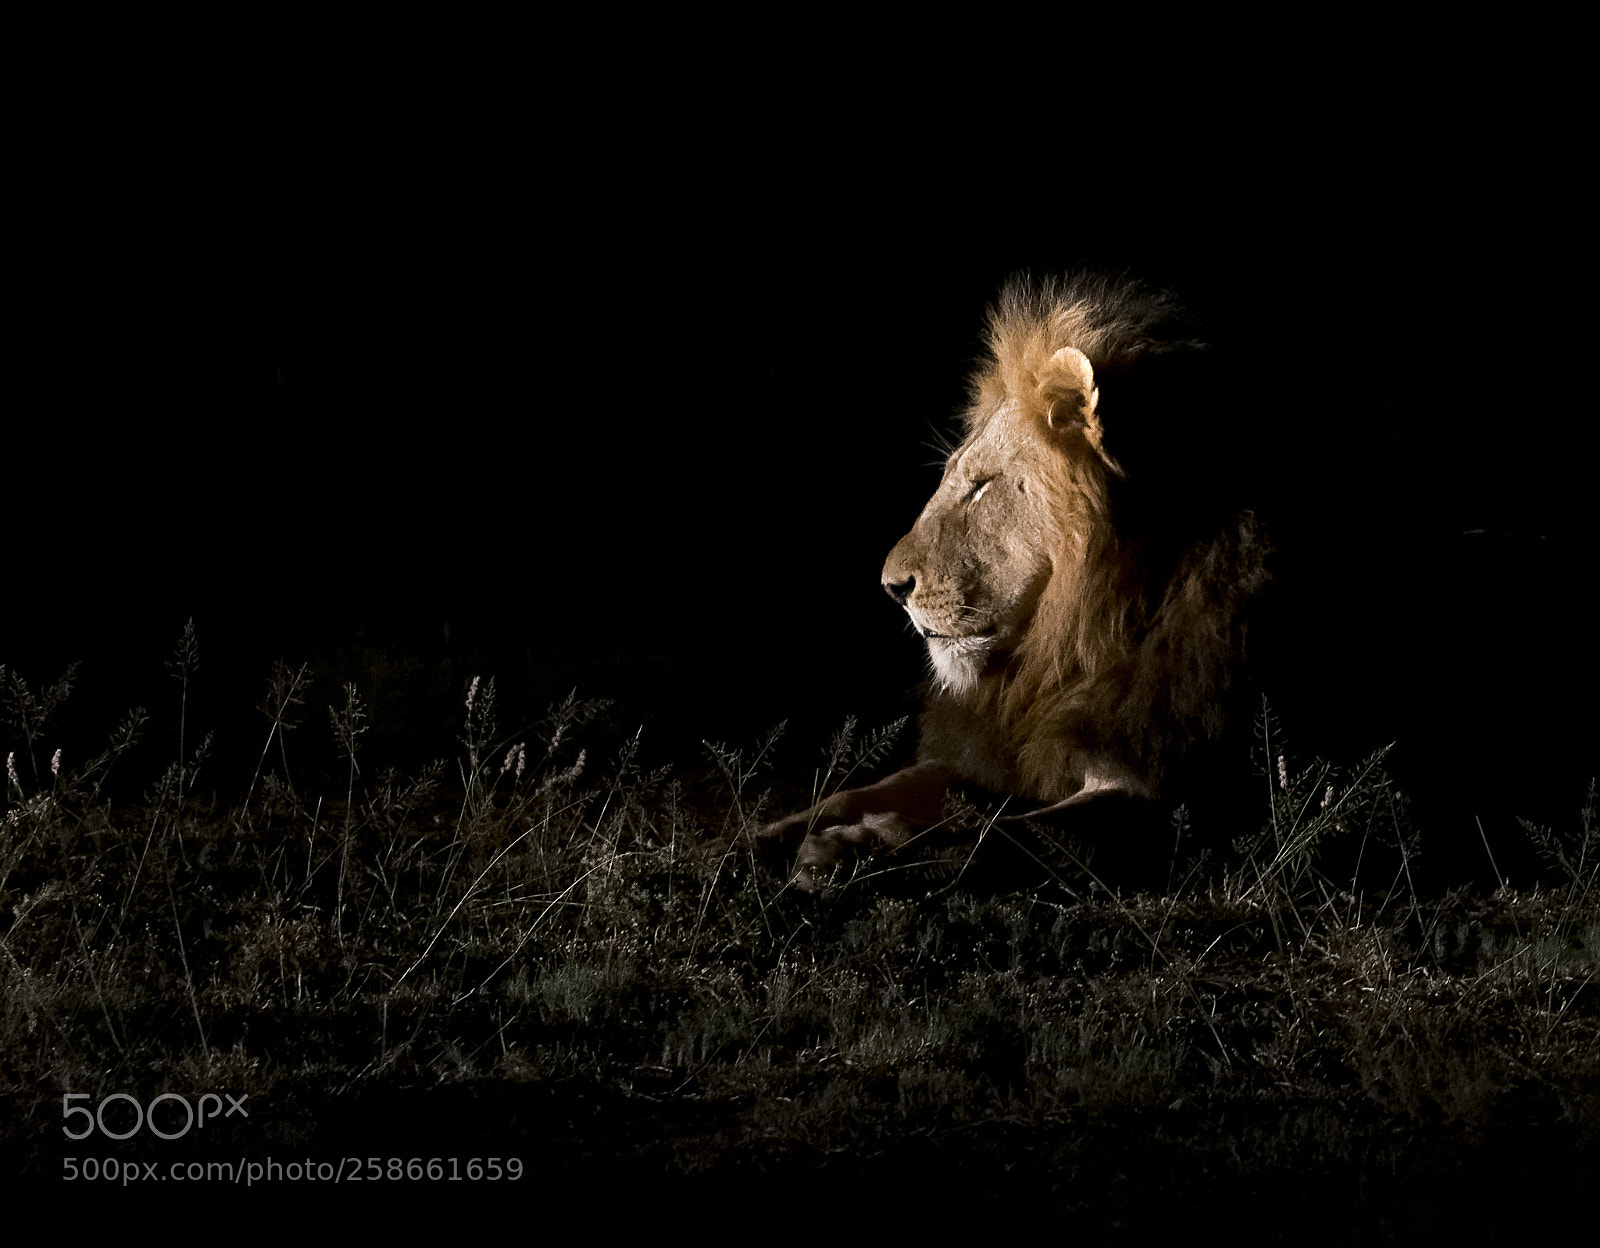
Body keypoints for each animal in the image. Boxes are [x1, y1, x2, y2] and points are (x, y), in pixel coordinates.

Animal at [759, 273, 1269, 888]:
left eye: (983, 486)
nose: (891, 587)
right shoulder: (987, 749)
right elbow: (864, 791)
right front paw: (754, 838)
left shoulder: (1163, 791)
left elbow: (997, 836)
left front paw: (851, 850)